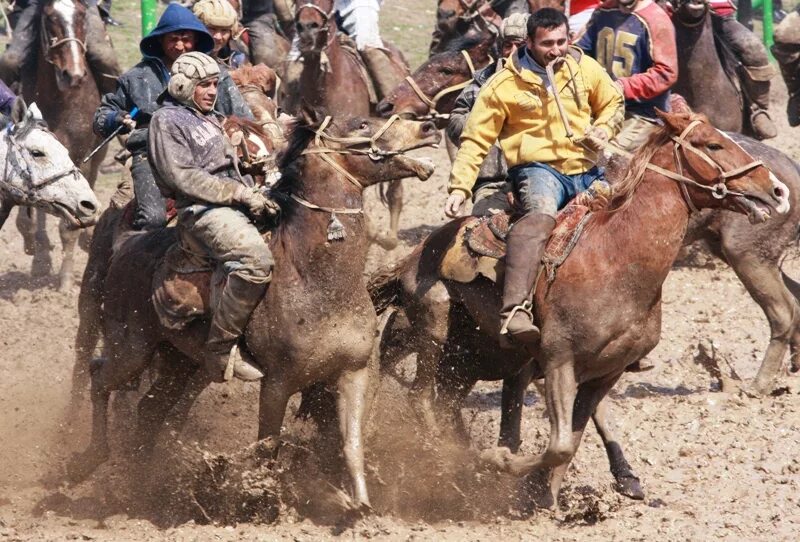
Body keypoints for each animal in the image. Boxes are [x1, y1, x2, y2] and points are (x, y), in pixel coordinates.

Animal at [15, 0, 111, 294]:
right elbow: (29, 216)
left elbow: (71, 224)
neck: (60, 101)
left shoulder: (80, 161)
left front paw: (66, 281)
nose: (74, 74)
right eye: (49, 19)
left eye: (81, 16)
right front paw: (36, 249)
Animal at [69, 111, 440, 516]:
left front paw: (357, 503)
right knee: (99, 376)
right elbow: (268, 445)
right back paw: (87, 460)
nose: (427, 127)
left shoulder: (354, 372)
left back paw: (142, 482)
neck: (318, 278)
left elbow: (352, 442)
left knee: (150, 409)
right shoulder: (277, 382)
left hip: (180, 363)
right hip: (131, 348)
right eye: (361, 123)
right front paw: (257, 492)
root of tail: (127, 243)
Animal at [368, 110, 788, 510]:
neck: (618, 259)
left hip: (471, 359)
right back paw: (457, 460)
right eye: (712, 144)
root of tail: (416, 254)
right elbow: (558, 446)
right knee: (421, 400)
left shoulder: (606, 373)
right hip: (434, 329)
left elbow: (571, 440)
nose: (778, 189)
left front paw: (544, 499)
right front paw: (501, 463)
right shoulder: (559, 361)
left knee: (447, 402)